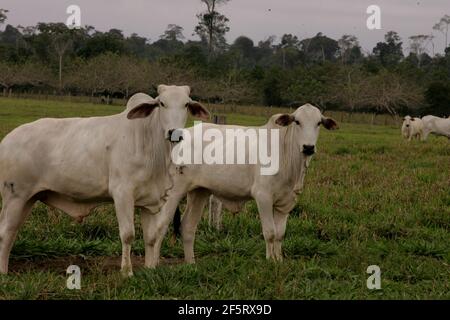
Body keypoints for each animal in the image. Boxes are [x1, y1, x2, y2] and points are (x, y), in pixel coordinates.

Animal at [0, 84, 209, 276]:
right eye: (162, 103)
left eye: (186, 104)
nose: (175, 133)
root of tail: (7, 140)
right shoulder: (122, 193)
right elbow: (128, 234)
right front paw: (127, 272)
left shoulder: (149, 200)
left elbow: (151, 237)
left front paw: (150, 269)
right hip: (15, 197)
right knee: (5, 233)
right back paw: (3, 272)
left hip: (28, 199)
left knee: (11, 232)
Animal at [144, 104, 338, 266]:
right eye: (297, 121)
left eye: (319, 123)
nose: (308, 147)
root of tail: (179, 136)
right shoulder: (263, 196)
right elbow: (270, 232)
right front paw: (270, 262)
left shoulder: (286, 203)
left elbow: (280, 234)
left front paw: (279, 261)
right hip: (175, 191)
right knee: (160, 226)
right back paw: (153, 265)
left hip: (199, 192)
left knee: (188, 226)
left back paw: (191, 264)